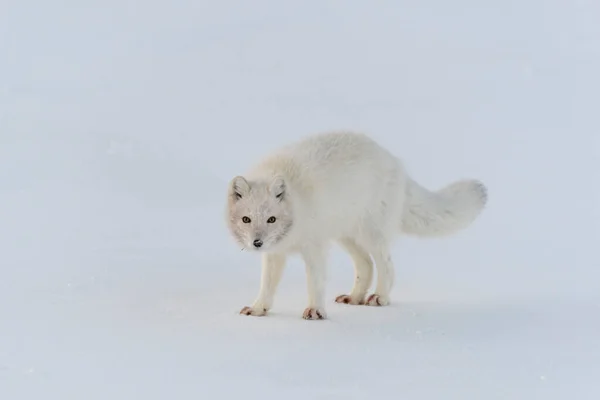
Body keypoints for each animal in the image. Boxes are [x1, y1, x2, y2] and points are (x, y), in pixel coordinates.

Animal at [226, 132, 488, 322]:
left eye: (271, 219)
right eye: (246, 219)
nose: (257, 243)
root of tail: (394, 161)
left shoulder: (315, 248)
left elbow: (315, 282)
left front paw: (315, 311)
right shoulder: (275, 253)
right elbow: (267, 285)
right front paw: (259, 309)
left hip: (371, 234)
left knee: (386, 266)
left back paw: (380, 297)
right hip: (346, 236)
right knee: (366, 265)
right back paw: (354, 297)